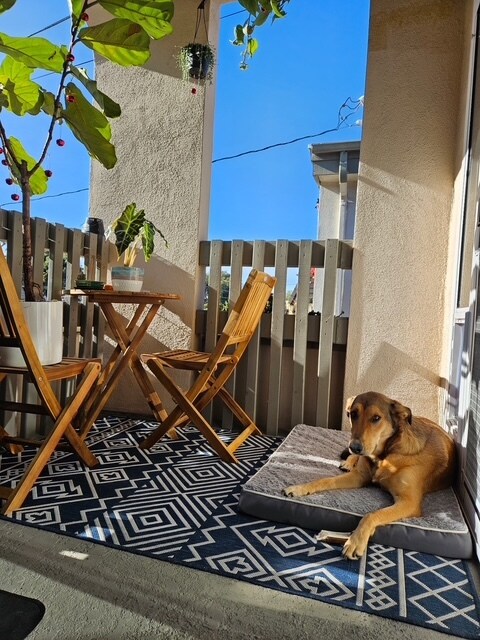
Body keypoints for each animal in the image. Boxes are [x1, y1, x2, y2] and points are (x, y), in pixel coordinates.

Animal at [283, 391, 457, 560]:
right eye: (353, 414)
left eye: (376, 418)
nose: (354, 447)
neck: (383, 455)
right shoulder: (359, 477)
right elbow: (324, 480)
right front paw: (299, 488)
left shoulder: (409, 502)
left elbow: (371, 514)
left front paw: (355, 541)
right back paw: (348, 462)